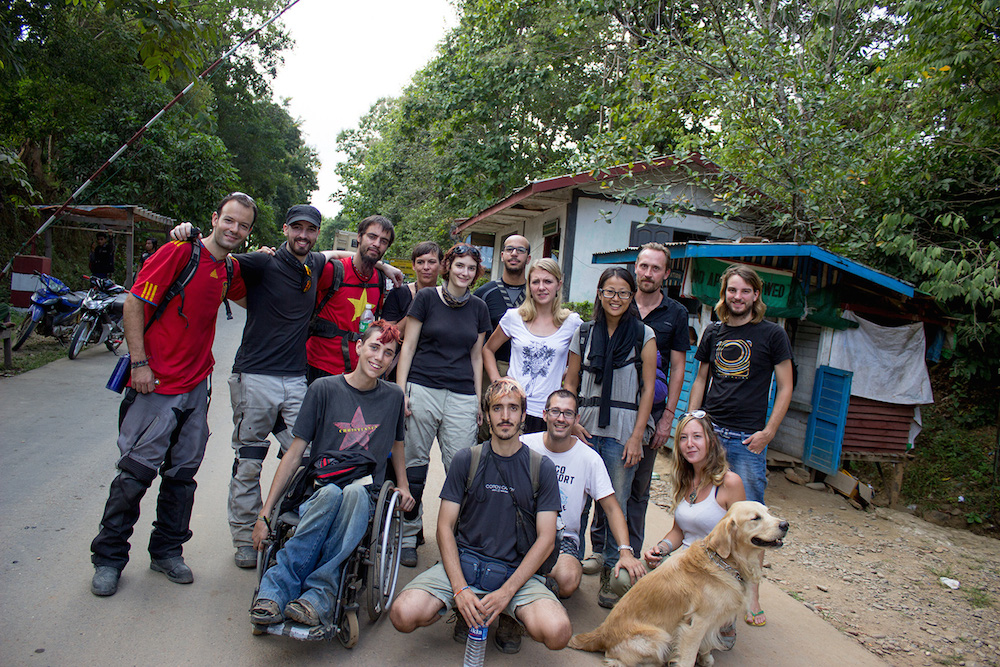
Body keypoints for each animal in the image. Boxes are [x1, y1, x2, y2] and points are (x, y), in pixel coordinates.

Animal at [572, 500, 788, 667]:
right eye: (755, 518)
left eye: (768, 512)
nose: (785, 524)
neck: (723, 561)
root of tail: (601, 633)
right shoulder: (697, 622)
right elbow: (688, 656)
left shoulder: (713, 620)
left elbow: (707, 645)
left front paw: (706, 658)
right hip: (659, 636)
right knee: (615, 659)